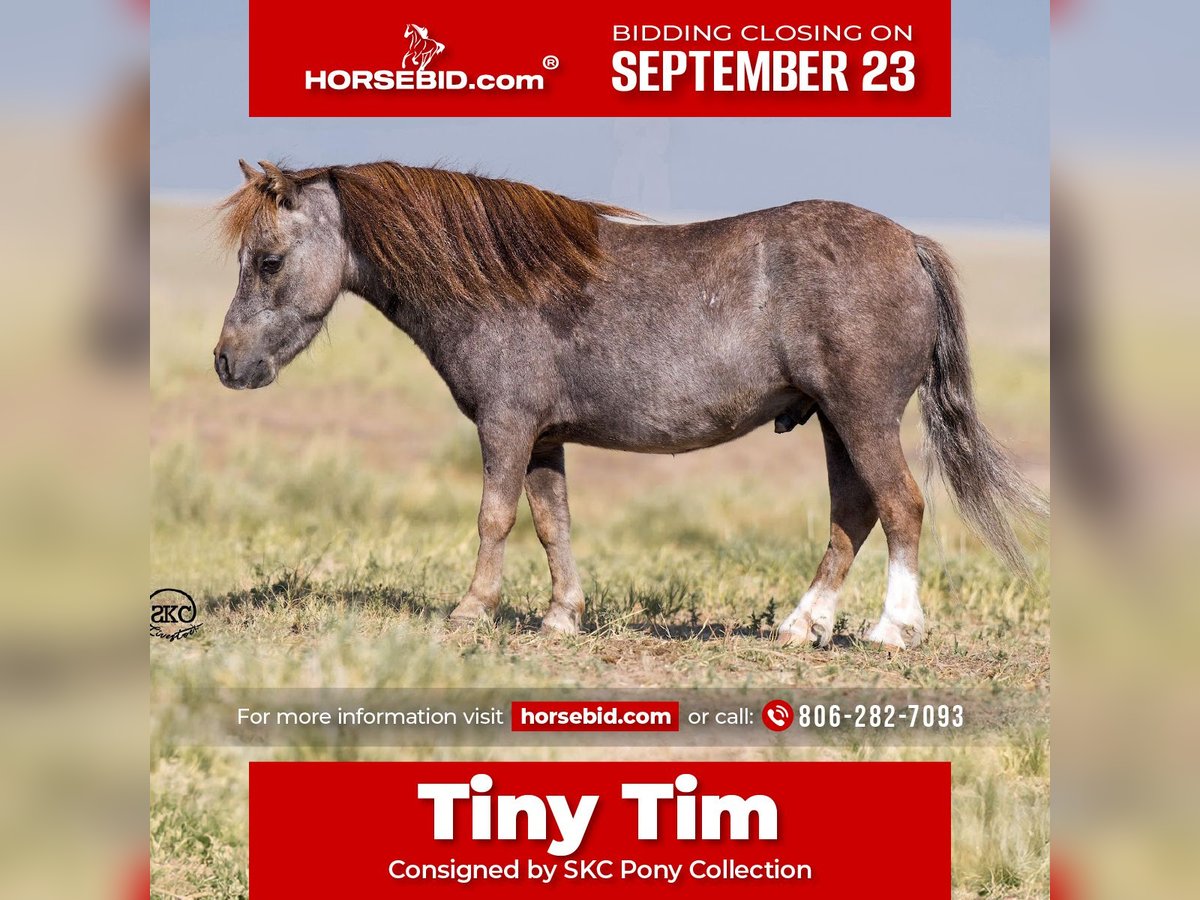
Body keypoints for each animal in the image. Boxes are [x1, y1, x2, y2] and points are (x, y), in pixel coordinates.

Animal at [220, 157, 1046, 648]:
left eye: (270, 261)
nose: (227, 362)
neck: (498, 281)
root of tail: (908, 243)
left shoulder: (506, 426)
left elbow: (494, 518)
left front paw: (470, 611)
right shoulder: (544, 437)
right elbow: (552, 524)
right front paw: (561, 617)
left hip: (862, 414)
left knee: (901, 506)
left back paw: (892, 628)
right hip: (836, 423)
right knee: (854, 513)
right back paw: (800, 624)